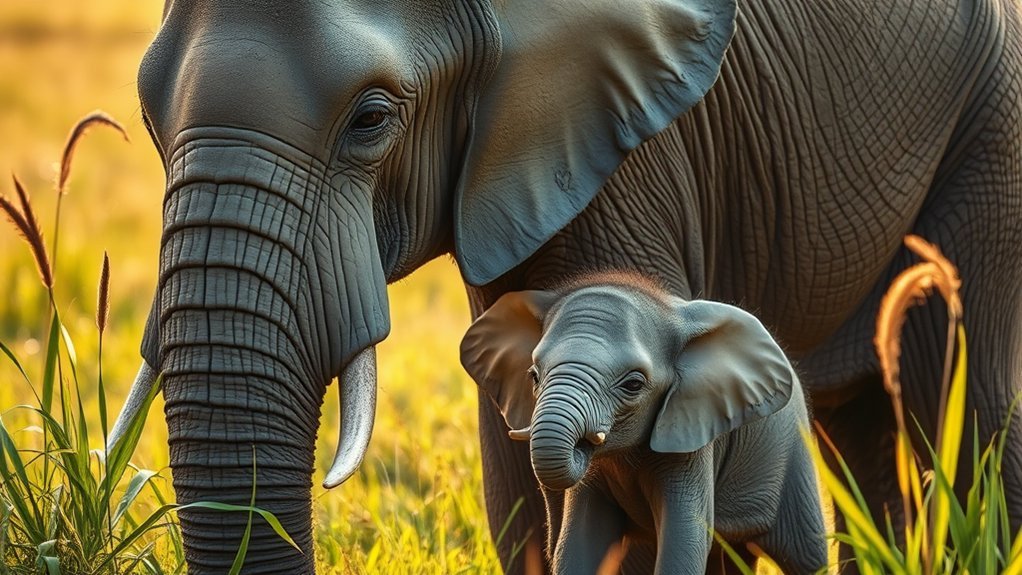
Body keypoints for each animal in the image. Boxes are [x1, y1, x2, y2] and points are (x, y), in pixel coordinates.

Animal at [459, 272, 828, 574]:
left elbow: (683, 541)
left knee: (805, 556)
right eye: (534, 377)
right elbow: (579, 543)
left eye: (634, 385)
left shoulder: (691, 439)